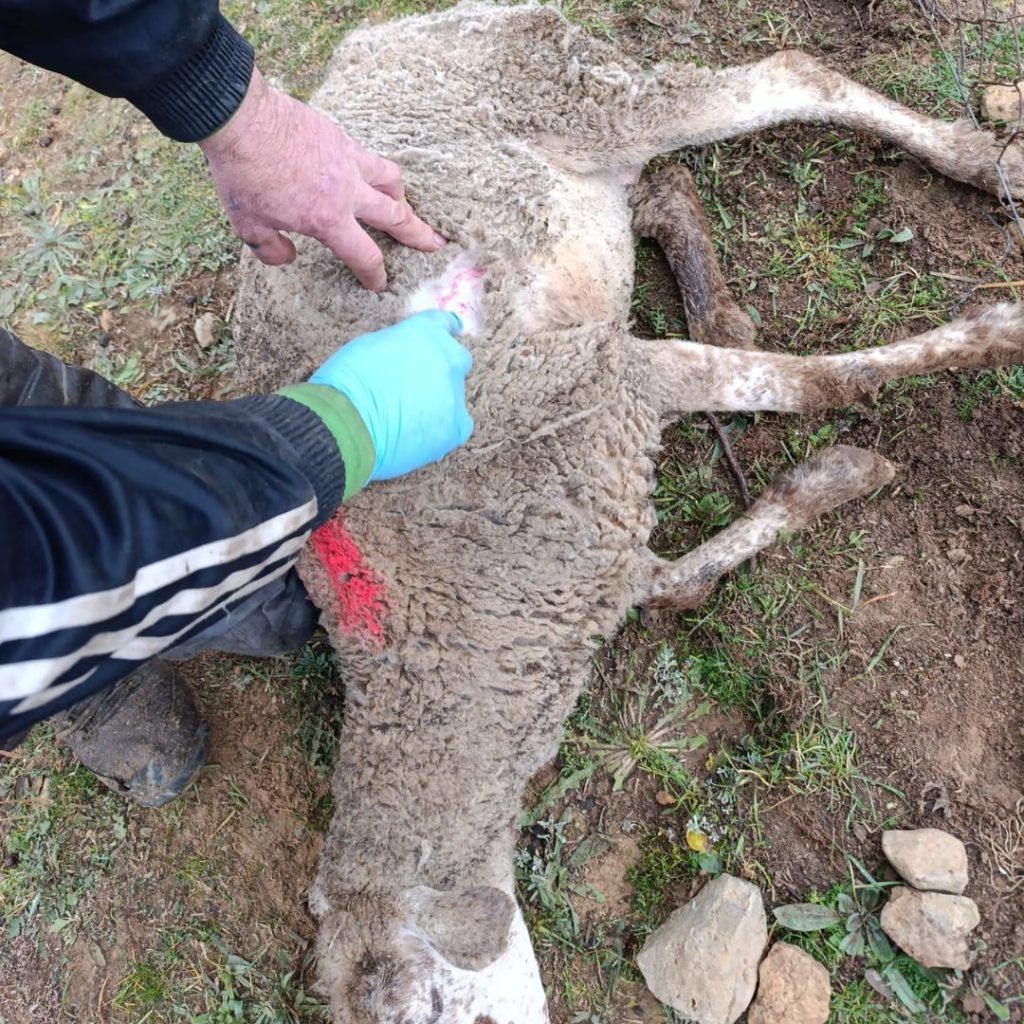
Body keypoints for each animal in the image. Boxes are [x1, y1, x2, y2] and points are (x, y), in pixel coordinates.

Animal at [231, 4, 1024, 1021]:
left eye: (433, 1012)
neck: (459, 617)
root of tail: (373, 44)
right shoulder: (597, 537)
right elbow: (678, 586)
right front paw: (834, 476)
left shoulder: (606, 385)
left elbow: (806, 387)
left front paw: (993, 337)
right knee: (655, 192)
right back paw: (708, 272)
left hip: (562, 91)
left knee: (782, 78)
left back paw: (981, 162)